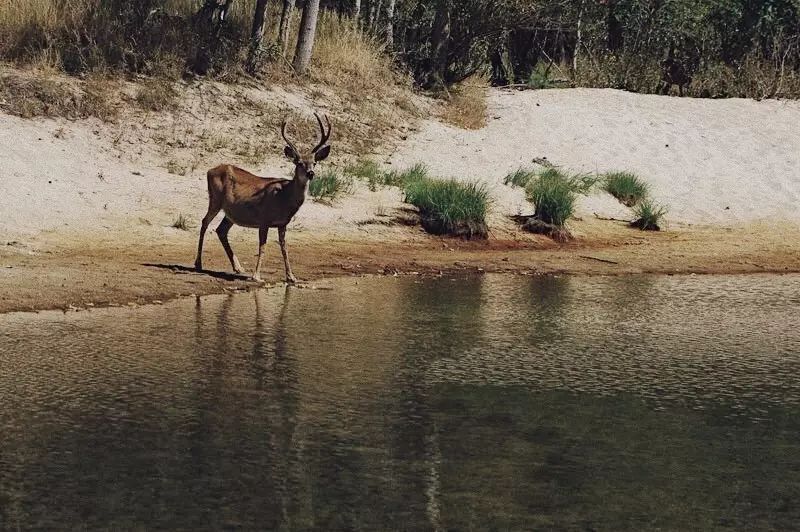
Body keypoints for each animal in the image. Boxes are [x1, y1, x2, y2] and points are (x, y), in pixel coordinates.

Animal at [194, 113, 332, 282]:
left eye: (315, 163)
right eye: (299, 163)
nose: (310, 173)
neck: (284, 197)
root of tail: (209, 170)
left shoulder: (282, 223)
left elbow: (284, 248)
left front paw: (291, 277)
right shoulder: (264, 219)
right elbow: (263, 246)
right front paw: (256, 276)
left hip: (230, 212)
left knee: (221, 230)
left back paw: (238, 267)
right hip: (215, 199)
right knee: (204, 222)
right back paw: (198, 263)